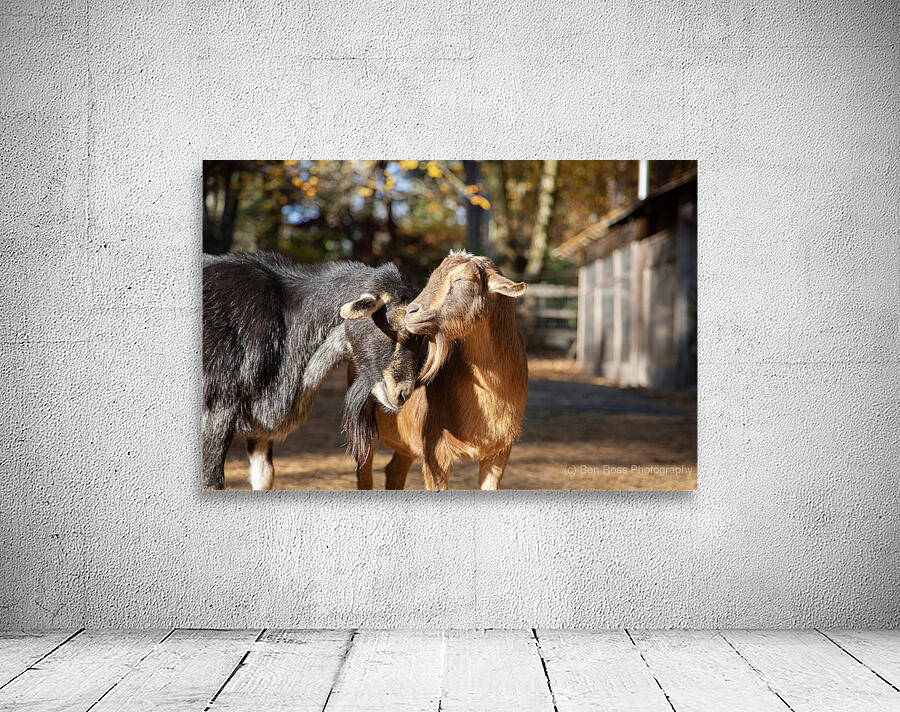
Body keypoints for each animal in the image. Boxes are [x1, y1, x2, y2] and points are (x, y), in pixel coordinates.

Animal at [202, 252, 419, 490]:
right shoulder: (217, 413)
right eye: (393, 327)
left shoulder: (261, 427)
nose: (402, 394)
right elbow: (212, 482)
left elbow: (265, 476)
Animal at [356, 251, 529, 490]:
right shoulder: (434, 450)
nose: (411, 312)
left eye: (461, 280)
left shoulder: (499, 453)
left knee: (395, 469)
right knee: (365, 472)